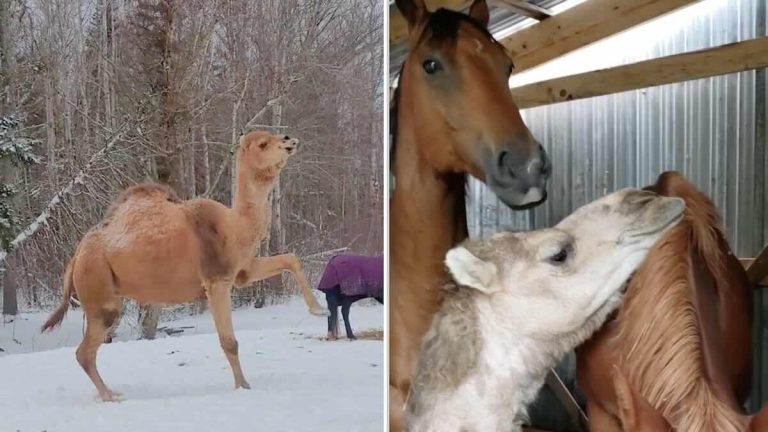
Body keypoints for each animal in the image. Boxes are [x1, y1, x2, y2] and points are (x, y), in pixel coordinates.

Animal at [41, 130, 327, 401]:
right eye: (263, 144)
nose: (288, 139)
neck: (234, 228)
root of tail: (77, 255)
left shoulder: (242, 271)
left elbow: (290, 259)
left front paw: (319, 309)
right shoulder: (216, 280)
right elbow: (229, 341)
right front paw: (243, 386)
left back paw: (110, 392)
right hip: (98, 285)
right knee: (85, 351)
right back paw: (110, 396)